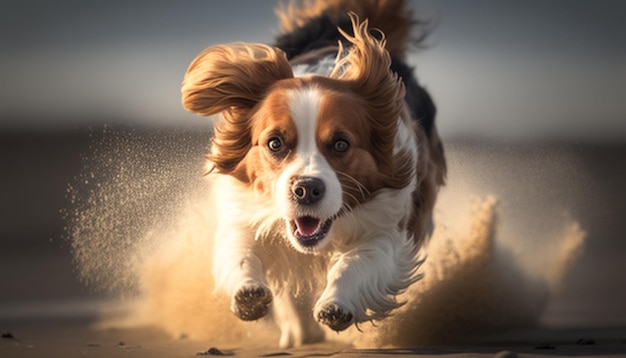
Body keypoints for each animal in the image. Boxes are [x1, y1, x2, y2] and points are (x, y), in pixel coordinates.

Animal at [179, 0, 444, 346]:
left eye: (341, 144)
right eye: (275, 143)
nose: (306, 189)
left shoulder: (386, 225)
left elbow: (356, 263)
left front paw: (336, 304)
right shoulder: (245, 209)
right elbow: (242, 251)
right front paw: (248, 293)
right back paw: (298, 333)